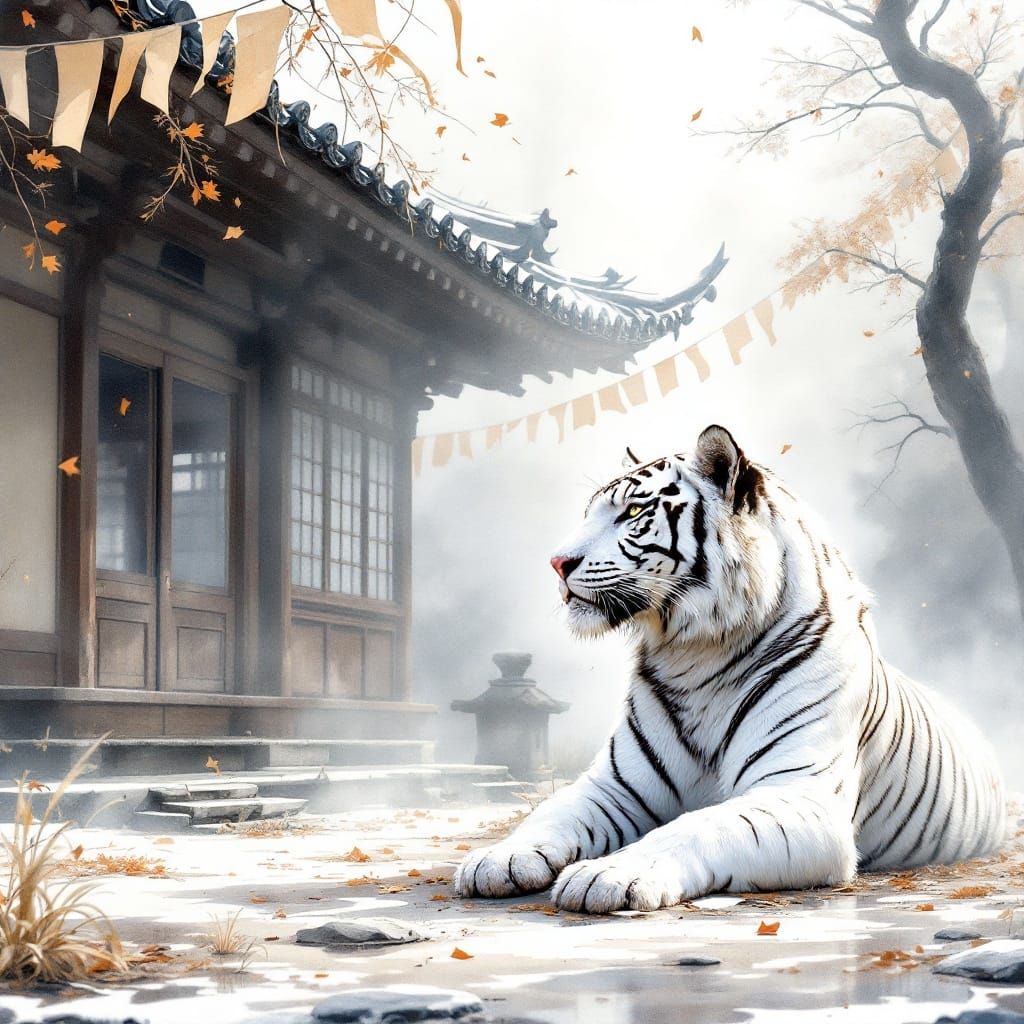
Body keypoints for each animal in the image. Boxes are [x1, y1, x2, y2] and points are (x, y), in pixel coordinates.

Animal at [454, 424, 1006, 913]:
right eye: (588, 513)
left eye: (632, 511)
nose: (557, 563)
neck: (696, 655)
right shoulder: (615, 786)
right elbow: (551, 812)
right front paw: (496, 859)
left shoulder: (799, 795)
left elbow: (696, 826)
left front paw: (609, 873)